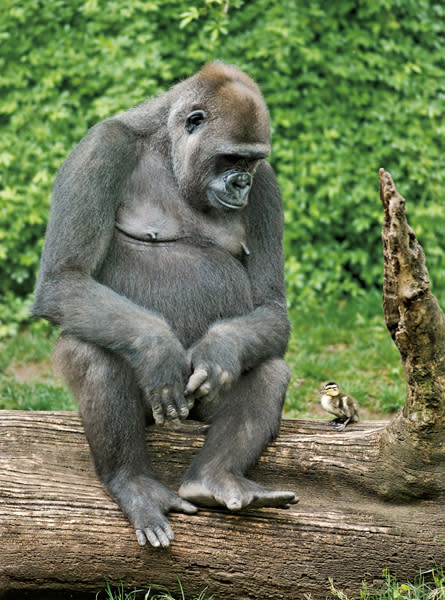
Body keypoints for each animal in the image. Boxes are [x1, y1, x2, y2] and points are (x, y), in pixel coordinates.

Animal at [33, 62, 296, 548]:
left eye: (250, 161)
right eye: (230, 159)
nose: (242, 183)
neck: (167, 147)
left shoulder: (268, 185)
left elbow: (271, 307)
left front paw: (219, 350)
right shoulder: (103, 147)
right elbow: (66, 277)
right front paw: (158, 349)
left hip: (195, 412)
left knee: (269, 368)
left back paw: (214, 478)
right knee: (96, 356)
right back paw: (131, 481)